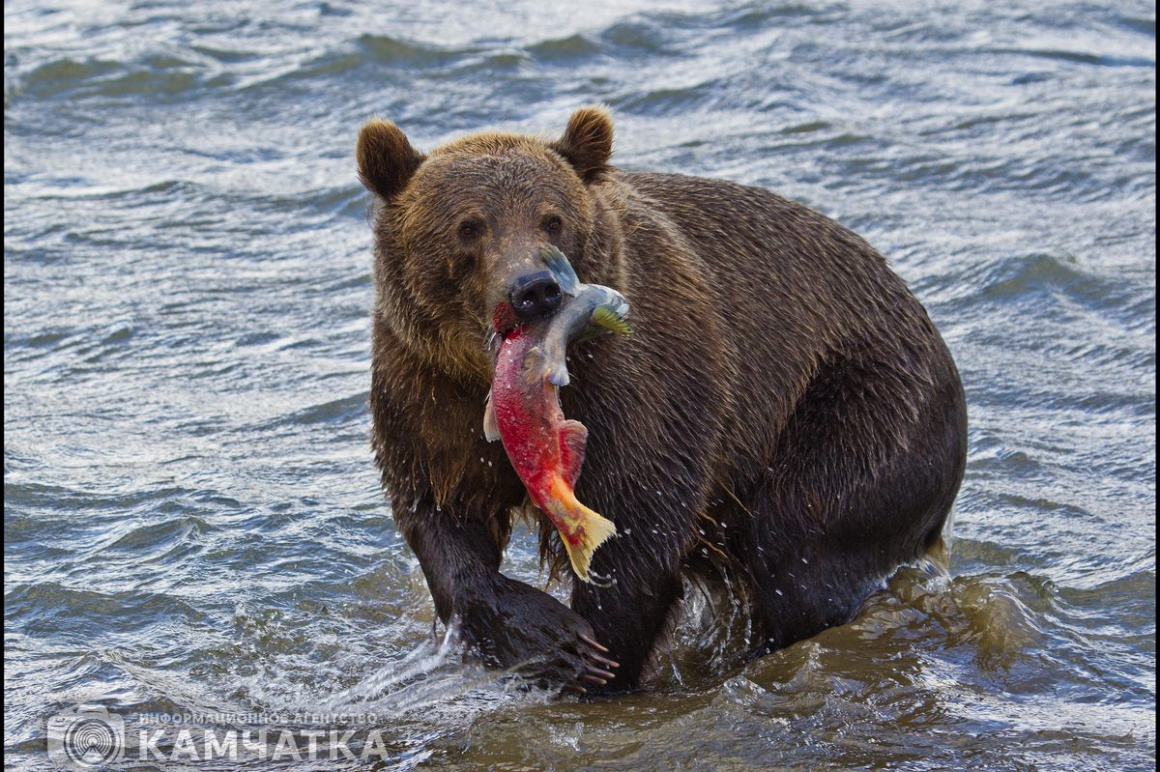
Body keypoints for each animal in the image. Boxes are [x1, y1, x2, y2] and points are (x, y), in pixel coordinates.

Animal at [354, 103, 969, 690]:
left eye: (552, 219)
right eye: (469, 226)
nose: (535, 289)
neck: (488, 374)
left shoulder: (644, 381)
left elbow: (638, 521)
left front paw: (596, 657)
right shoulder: (424, 390)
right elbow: (441, 512)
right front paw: (547, 638)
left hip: (861, 403)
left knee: (801, 542)